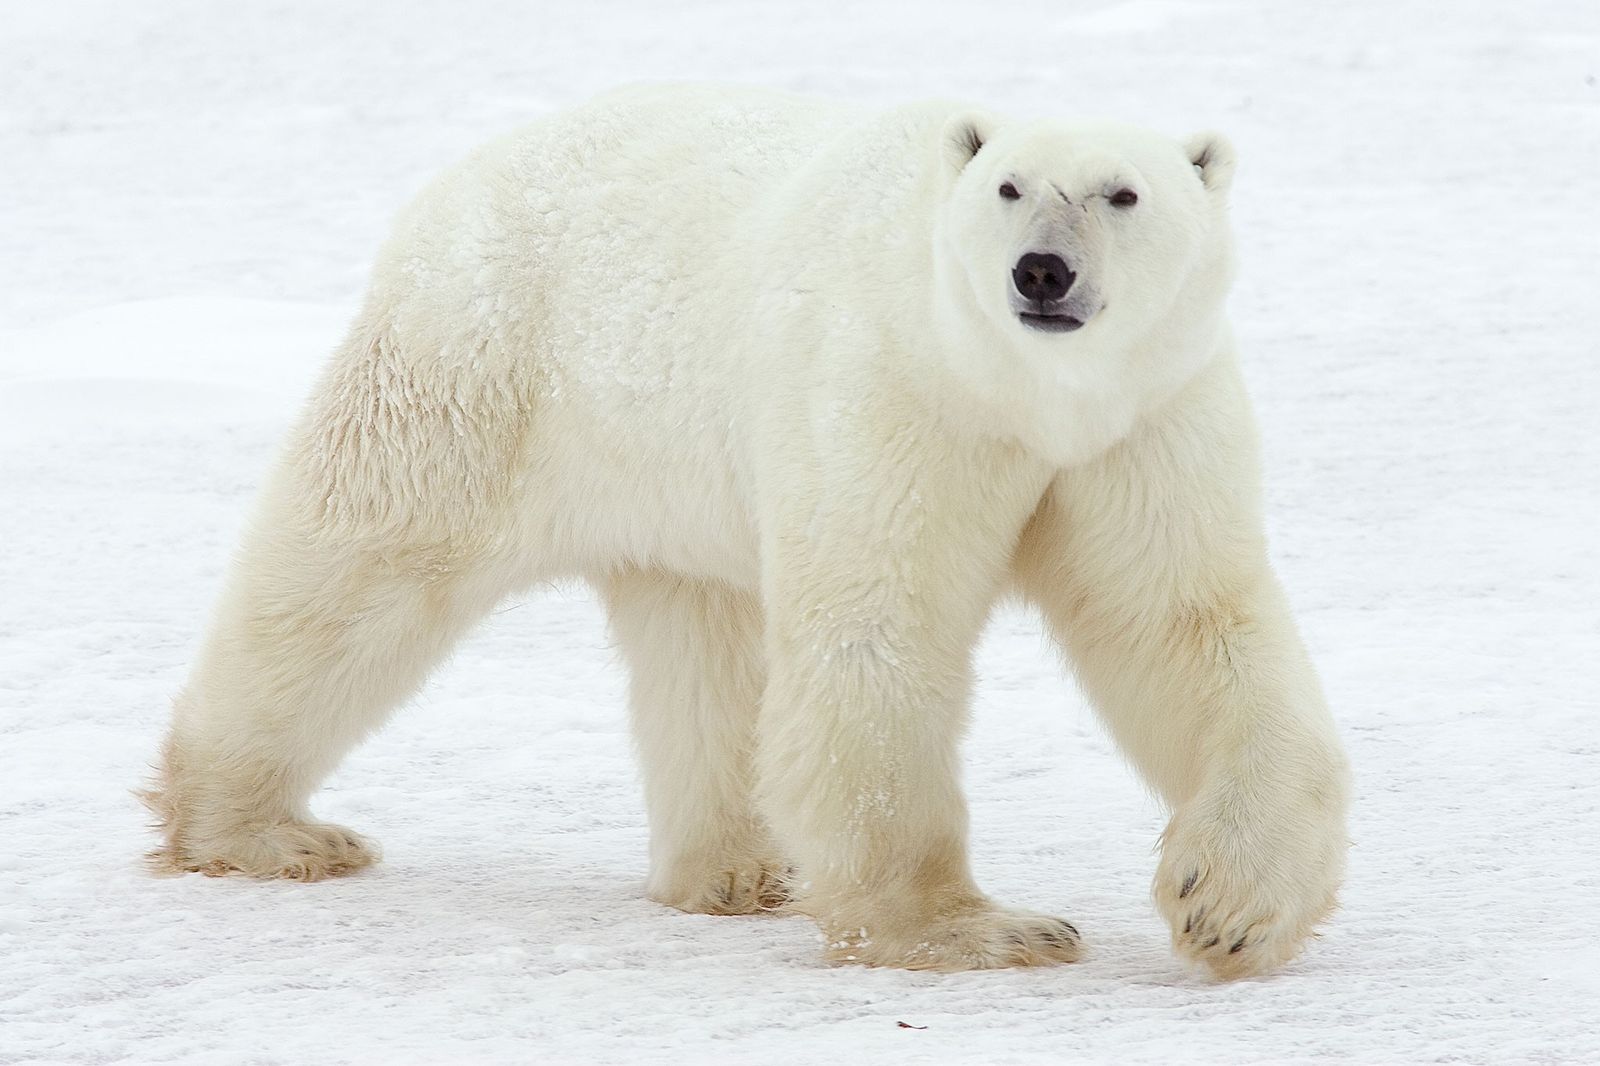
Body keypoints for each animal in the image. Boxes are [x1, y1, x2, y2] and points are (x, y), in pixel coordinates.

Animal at [147, 87, 1350, 973]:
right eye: (1006, 186)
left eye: (1123, 192)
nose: (1041, 270)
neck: (1014, 393)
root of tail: (456, 180)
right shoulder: (889, 396)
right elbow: (878, 631)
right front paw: (980, 928)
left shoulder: (1140, 421)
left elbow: (1183, 621)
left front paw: (1229, 906)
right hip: (481, 375)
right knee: (357, 572)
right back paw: (262, 829)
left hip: (668, 474)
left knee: (704, 645)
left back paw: (733, 870)